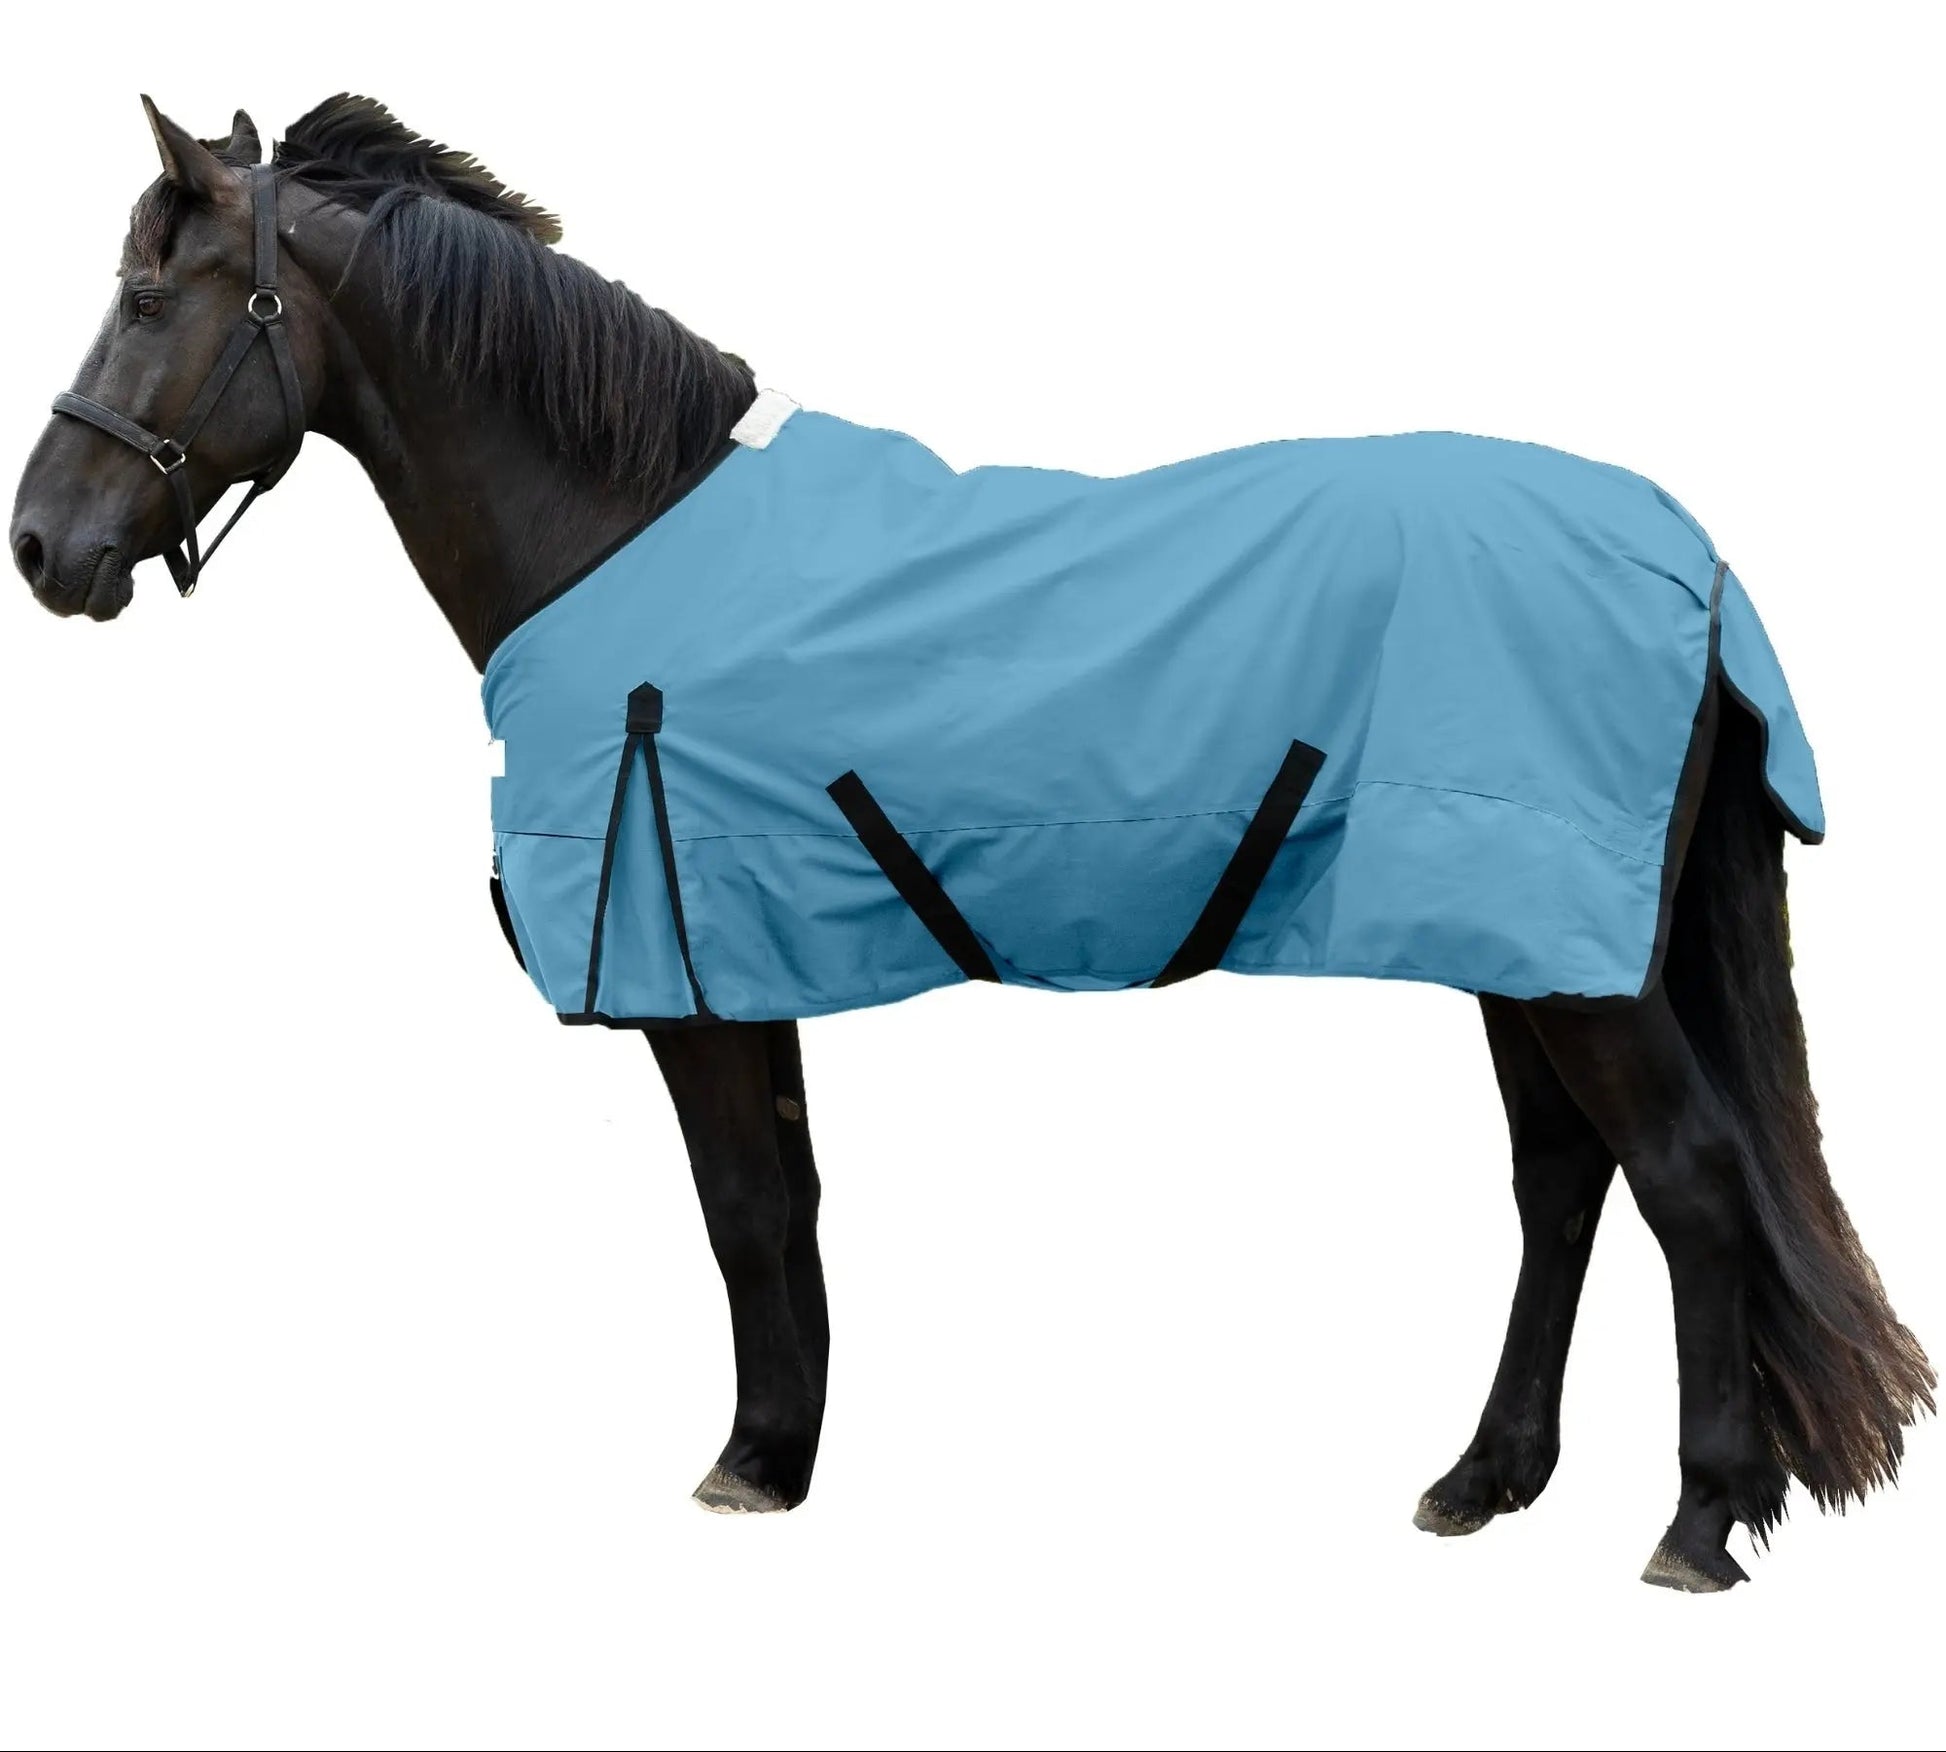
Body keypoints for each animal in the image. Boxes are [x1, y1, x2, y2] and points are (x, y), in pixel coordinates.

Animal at [10, 94, 1931, 1592]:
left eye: (145, 295)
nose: (42, 546)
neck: (621, 532)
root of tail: (1687, 557)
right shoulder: (742, 960)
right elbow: (782, 1202)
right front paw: (782, 1451)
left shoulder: (693, 970)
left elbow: (742, 1206)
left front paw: (749, 1463)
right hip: (1518, 949)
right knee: (1562, 1186)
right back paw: (1486, 1481)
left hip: (1568, 963)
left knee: (1687, 1182)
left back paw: (1694, 1522)